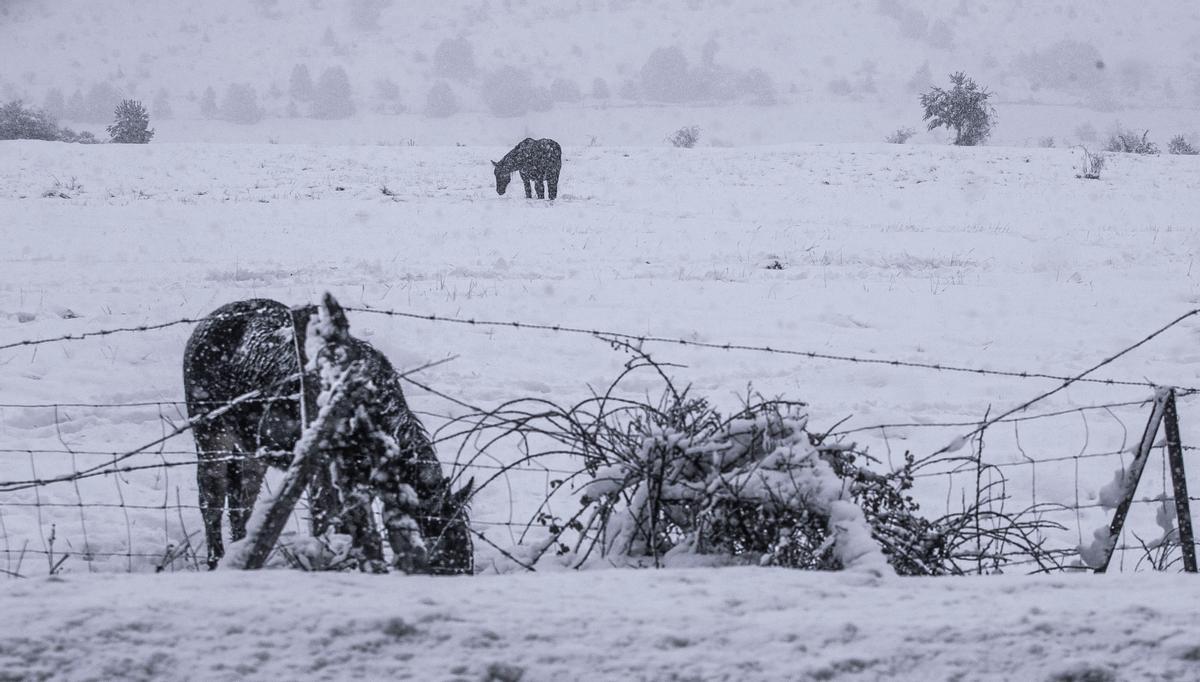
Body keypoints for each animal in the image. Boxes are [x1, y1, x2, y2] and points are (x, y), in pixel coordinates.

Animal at [182, 301, 472, 573]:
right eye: (441, 543)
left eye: (466, 538)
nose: (464, 571)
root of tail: (207, 322)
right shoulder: (321, 472)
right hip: (211, 435)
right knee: (211, 500)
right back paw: (215, 560)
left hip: (252, 449)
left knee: (241, 502)